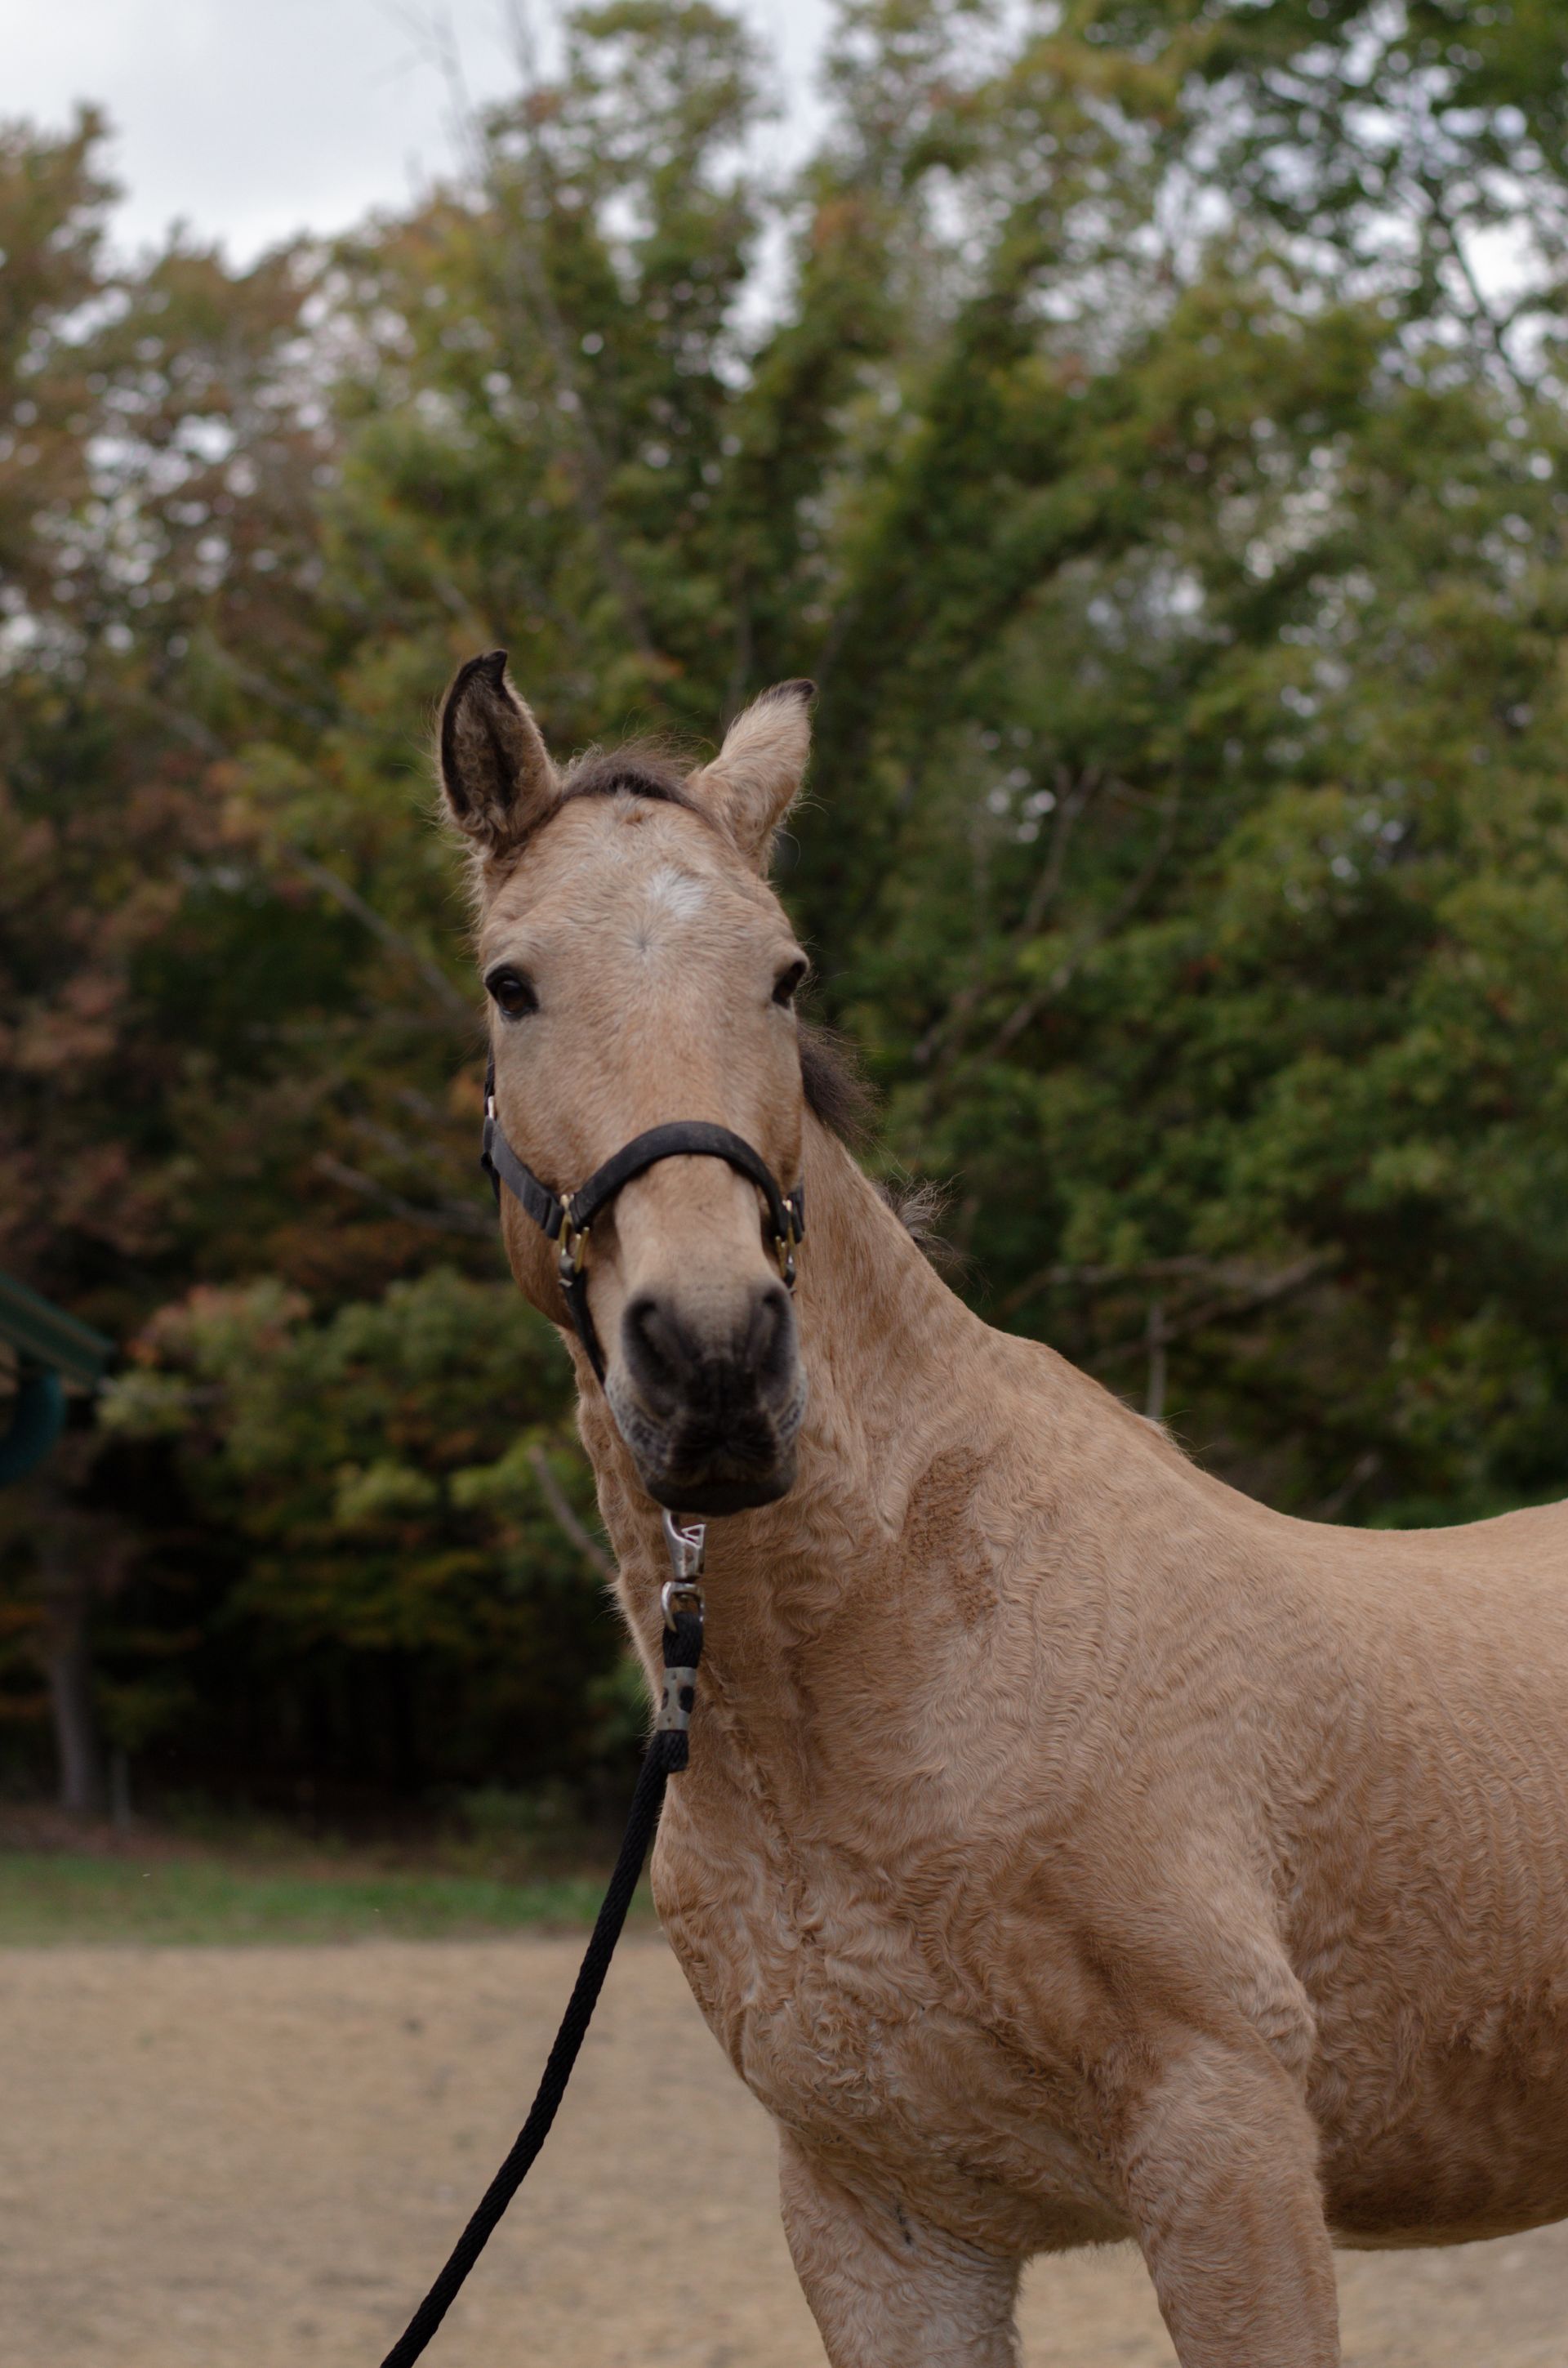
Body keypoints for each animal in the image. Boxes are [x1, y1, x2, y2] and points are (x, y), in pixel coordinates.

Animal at [436, 649, 1568, 2367]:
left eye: (784, 972)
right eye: (514, 983)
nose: (716, 1361)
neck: (908, 1645)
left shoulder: (1230, 2154)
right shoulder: (888, 2220)